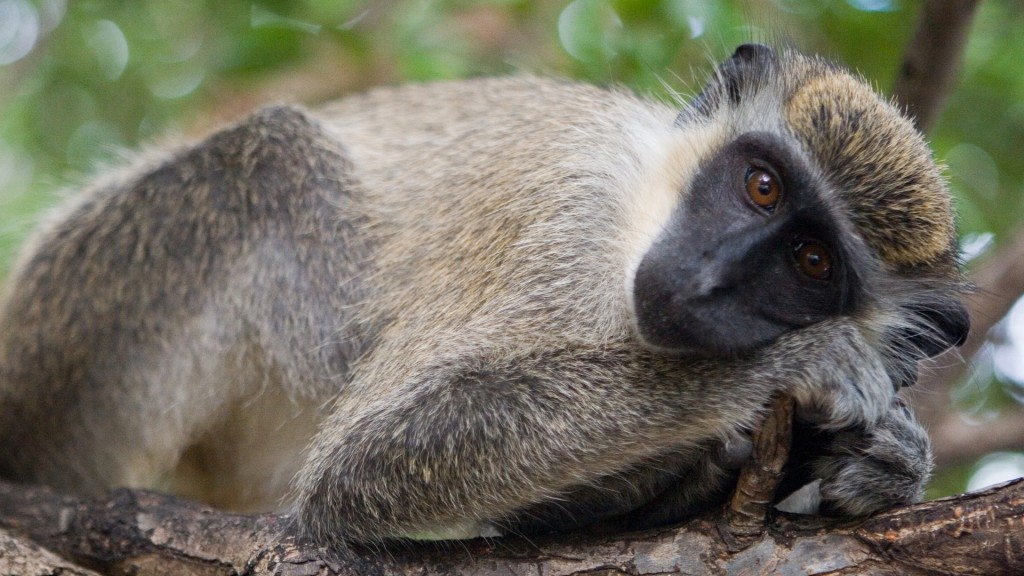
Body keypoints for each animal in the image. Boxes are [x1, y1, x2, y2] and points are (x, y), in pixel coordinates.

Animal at [0, 44, 968, 546]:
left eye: (813, 262)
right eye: (761, 186)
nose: (713, 275)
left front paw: (887, 462)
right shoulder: (562, 213)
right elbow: (366, 462)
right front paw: (799, 368)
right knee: (268, 162)